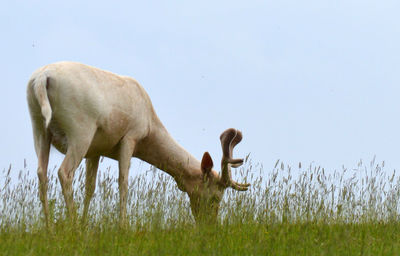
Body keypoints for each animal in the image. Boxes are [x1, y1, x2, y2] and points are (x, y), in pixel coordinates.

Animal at [26, 61, 248, 226]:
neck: (149, 127)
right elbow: (123, 182)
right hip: (81, 130)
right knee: (64, 172)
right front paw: (123, 226)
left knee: (42, 172)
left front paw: (85, 224)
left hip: (39, 127)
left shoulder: (96, 149)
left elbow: (90, 188)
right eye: (215, 197)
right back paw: (72, 226)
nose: (209, 225)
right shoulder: (130, 137)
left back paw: (49, 228)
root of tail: (42, 78)